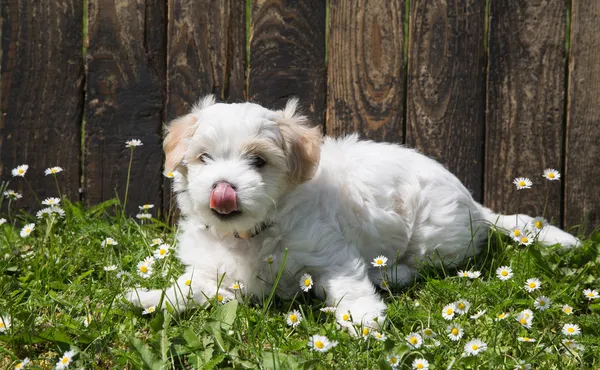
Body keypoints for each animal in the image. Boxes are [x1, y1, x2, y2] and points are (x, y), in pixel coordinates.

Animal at [127, 95, 580, 330]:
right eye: (204, 158)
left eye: (258, 161)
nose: (223, 188)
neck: (250, 235)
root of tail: (476, 205)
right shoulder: (216, 273)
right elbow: (190, 287)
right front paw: (150, 297)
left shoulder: (330, 253)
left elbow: (349, 284)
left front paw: (361, 317)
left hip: (432, 233)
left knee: (422, 266)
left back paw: (388, 275)